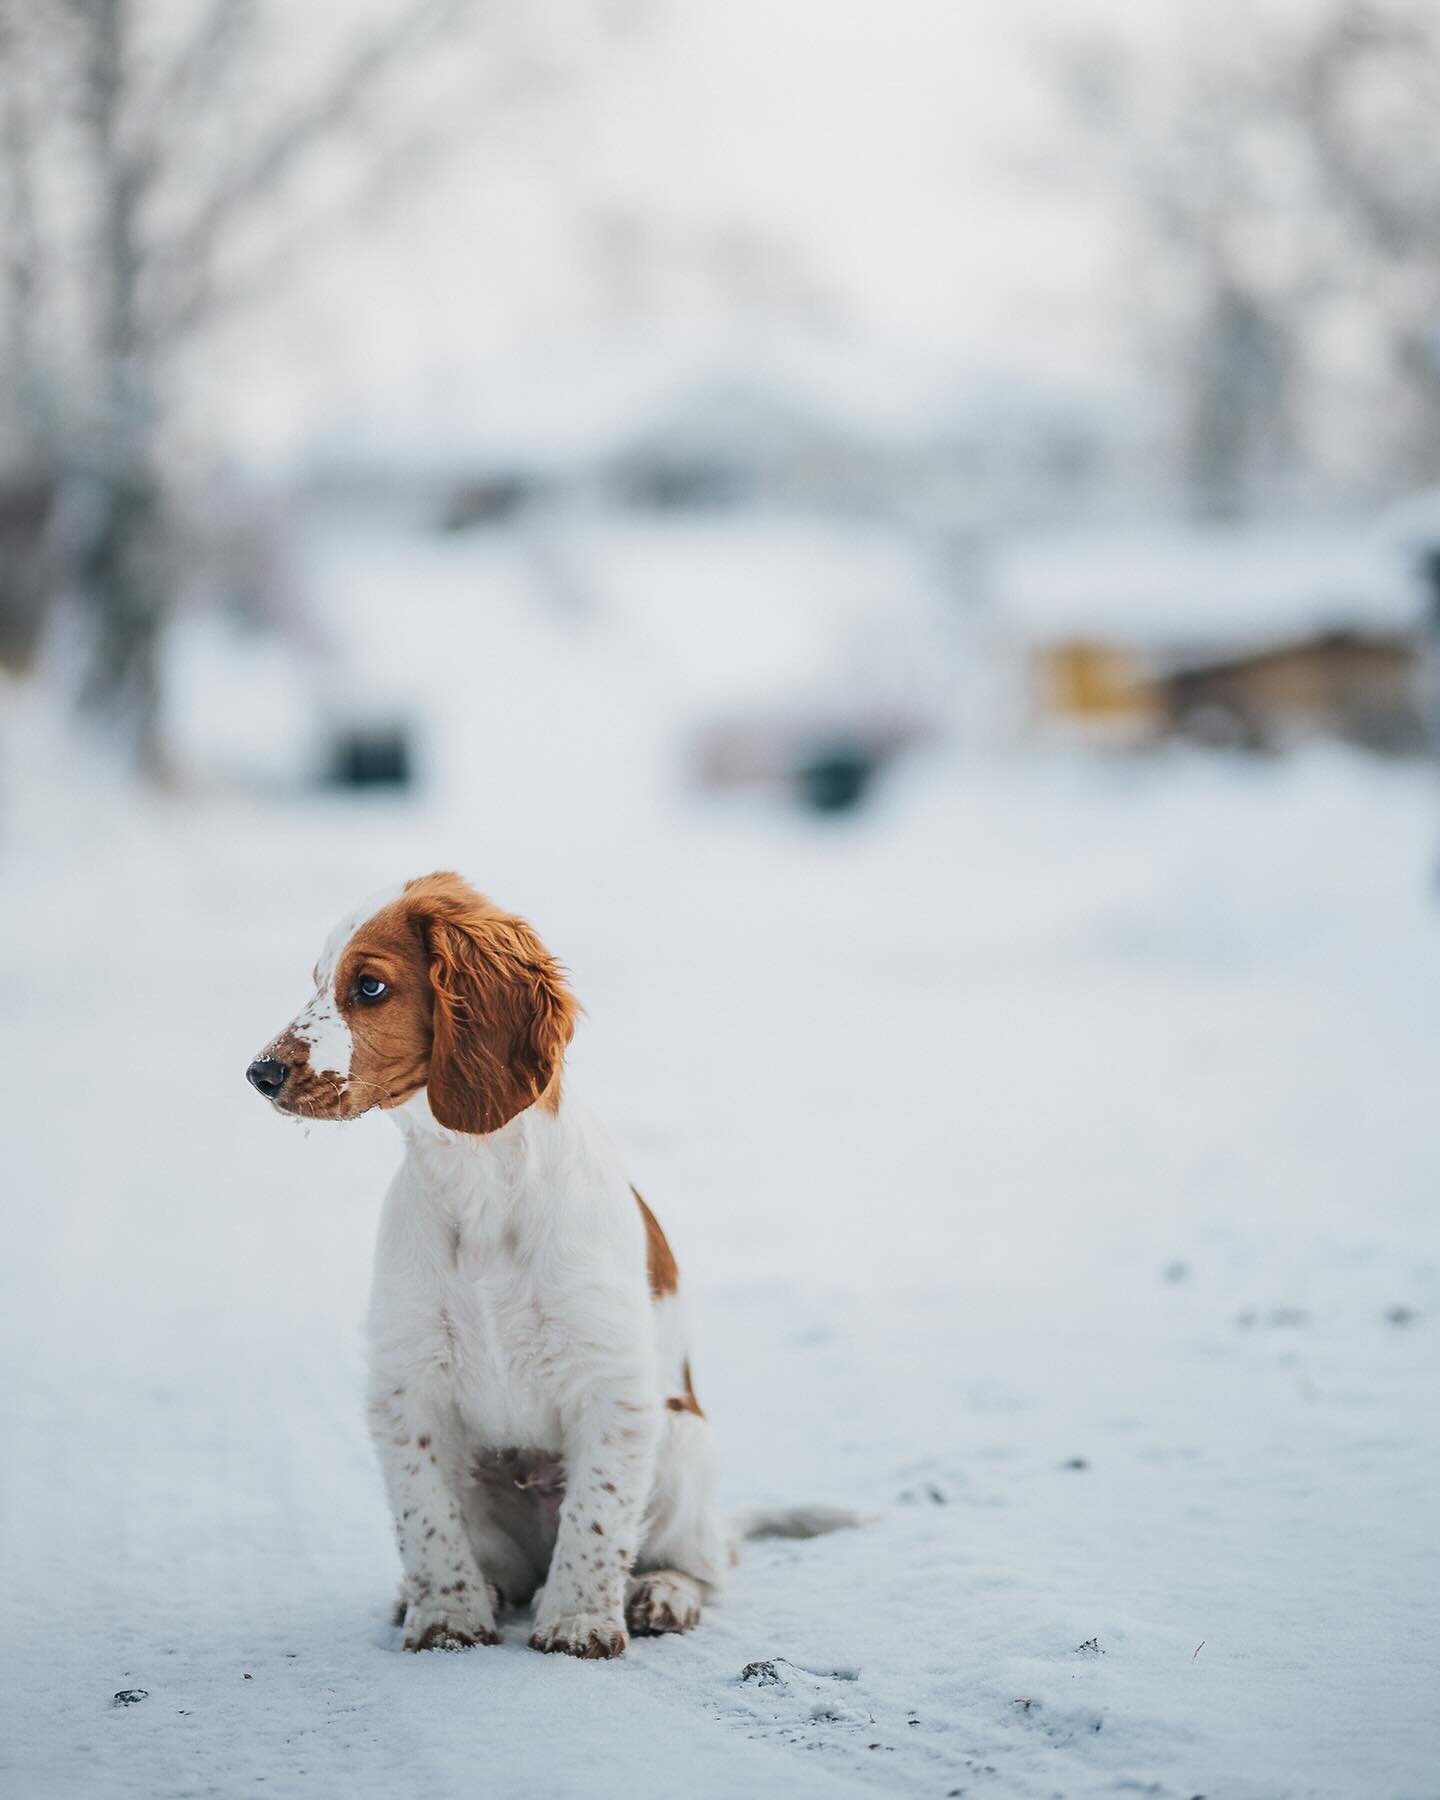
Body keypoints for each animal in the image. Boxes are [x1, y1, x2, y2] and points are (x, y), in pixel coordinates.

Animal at [248, 874, 727, 1656]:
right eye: (318, 981)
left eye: (369, 986)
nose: (259, 1072)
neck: (474, 1179)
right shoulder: (406, 1381)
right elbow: (425, 1514)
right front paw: (447, 1613)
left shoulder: (614, 1384)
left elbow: (598, 1515)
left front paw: (579, 1619)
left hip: (685, 1437)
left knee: (703, 1563)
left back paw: (661, 1593)